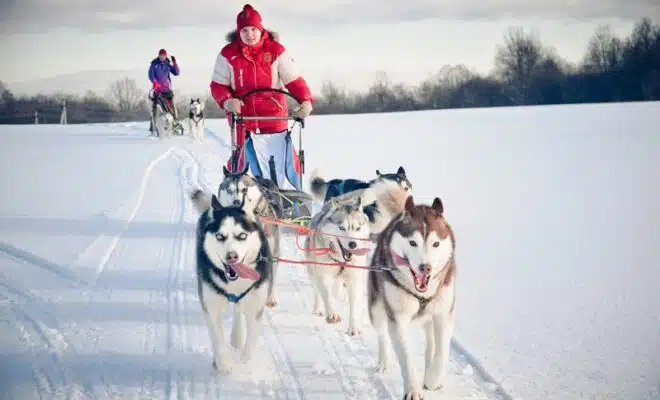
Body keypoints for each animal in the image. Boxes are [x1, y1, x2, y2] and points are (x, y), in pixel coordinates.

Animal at [193, 194, 274, 376]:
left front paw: (245, 363)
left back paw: (237, 337)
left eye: (242, 236)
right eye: (220, 237)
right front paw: (223, 364)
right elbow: (217, 339)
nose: (232, 256)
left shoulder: (256, 305)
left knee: (238, 310)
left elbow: (251, 340)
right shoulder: (211, 307)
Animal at [304, 195, 372, 336]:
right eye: (342, 228)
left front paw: (353, 327)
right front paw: (332, 314)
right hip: (313, 272)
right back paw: (318, 308)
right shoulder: (323, 275)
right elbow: (327, 295)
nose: (353, 244)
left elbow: (354, 305)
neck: (341, 260)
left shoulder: (354, 279)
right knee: (317, 291)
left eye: (357, 228)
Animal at [368, 195, 456, 398]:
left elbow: (442, 350)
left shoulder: (443, 314)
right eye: (412, 243)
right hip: (376, 308)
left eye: (436, 243)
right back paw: (384, 362)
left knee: (431, 343)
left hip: (430, 316)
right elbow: (406, 357)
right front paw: (413, 390)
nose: (426, 268)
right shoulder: (398, 318)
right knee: (382, 335)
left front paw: (433, 378)